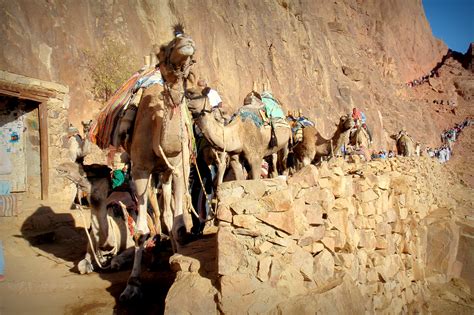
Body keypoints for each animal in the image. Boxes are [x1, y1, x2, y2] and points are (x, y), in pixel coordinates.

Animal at [122, 25, 198, 304]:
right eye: (166, 47)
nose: (186, 42)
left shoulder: (179, 167)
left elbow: (178, 223)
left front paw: (180, 259)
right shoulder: (140, 171)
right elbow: (140, 232)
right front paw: (132, 286)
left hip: (166, 173)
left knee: (167, 214)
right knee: (158, 214)